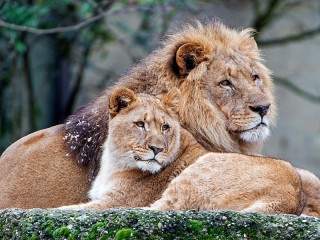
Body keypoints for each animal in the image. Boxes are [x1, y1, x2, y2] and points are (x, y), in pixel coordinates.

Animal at [58, 87, 304, 216]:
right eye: (140, 124)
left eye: (165, 127)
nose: (156, 149)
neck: (115, 160)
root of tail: (289, 199)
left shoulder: (115, 202)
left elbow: (72, 208)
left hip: (200, 171)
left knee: (160, 209)